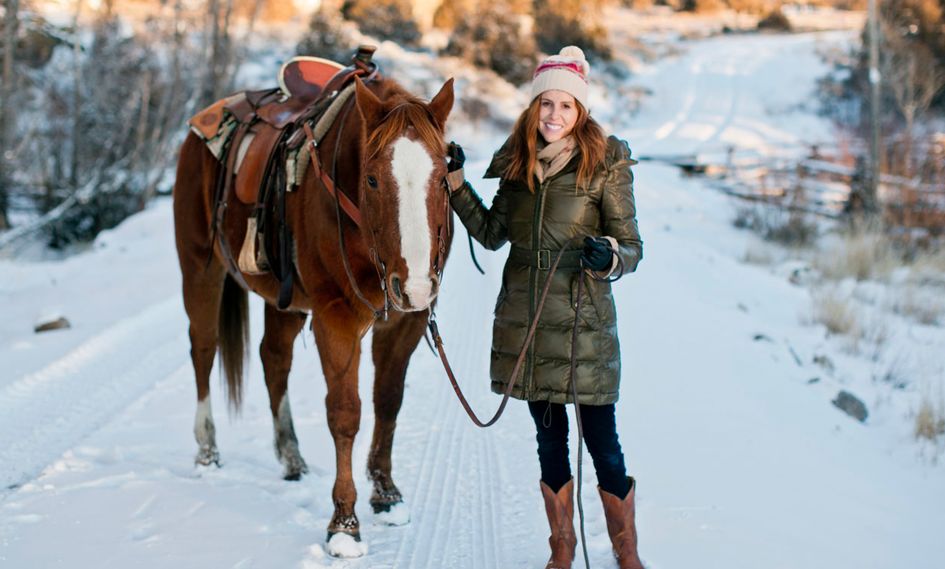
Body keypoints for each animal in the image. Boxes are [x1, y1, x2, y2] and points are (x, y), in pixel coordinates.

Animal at [171, 72, 456, 556]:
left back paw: (291, 458)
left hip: (284, 301)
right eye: (373, 180)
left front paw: (386, 494)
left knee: (273, 359)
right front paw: (344, 525)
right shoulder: (335, 318)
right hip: (200, 269)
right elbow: (345, 413)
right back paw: (207, 451)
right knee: (204, 350)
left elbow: (388, 401)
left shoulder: (407, 321)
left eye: (441, 178)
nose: (416, 285)